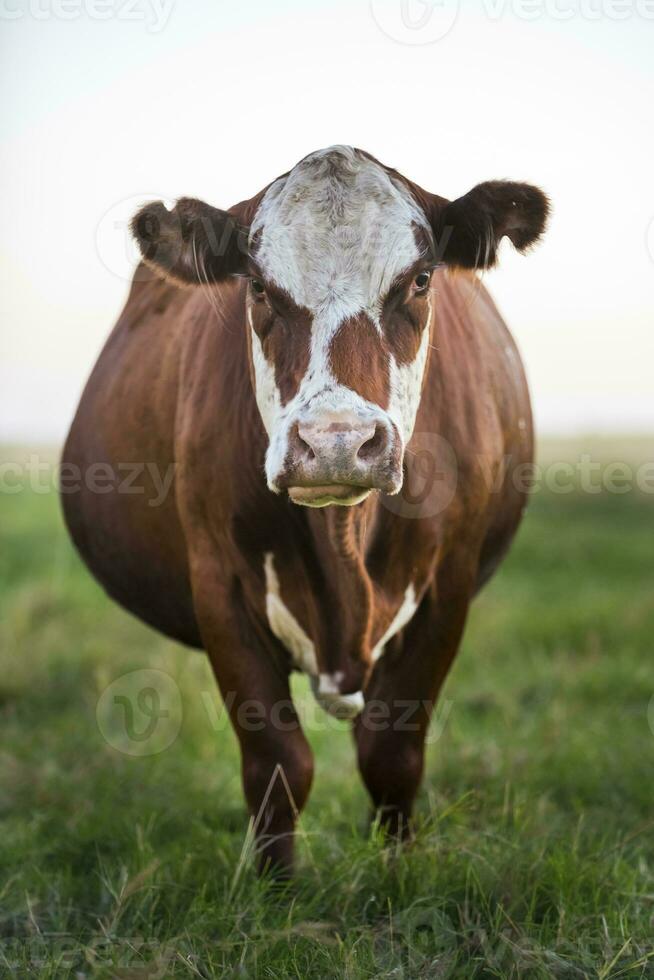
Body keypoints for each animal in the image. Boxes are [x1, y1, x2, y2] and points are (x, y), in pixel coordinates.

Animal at [64, 149, 552, 876]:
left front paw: (397, 872)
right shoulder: (221, 588)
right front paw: (278, 890)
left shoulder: (447, 590)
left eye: (420, 279)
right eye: (260, 288)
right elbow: (278, 765)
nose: (336, 443)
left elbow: (392, 758)